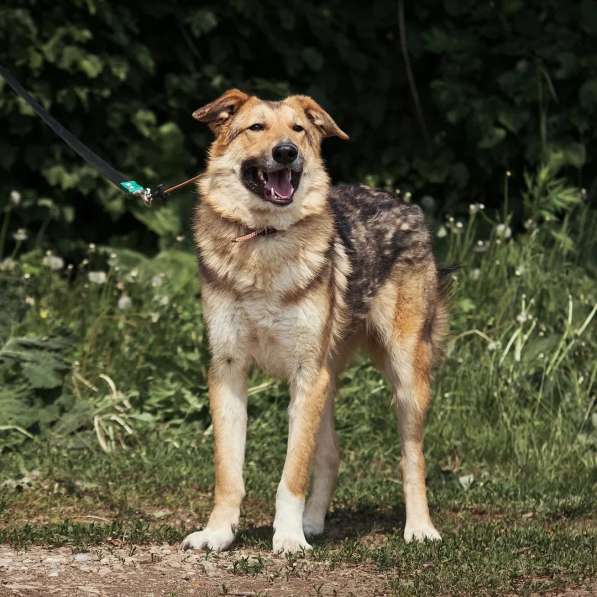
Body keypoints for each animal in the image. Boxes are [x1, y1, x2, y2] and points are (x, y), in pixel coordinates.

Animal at [182, 88, 448, 556]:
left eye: (298, 129)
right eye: (256, 127)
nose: (286, 152)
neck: (265, 241)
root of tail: (404, 202)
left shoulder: (307, 374)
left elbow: (292, 474)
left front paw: (288, 538)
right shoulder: (229, 371)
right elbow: (229, 473)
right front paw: (218, 533)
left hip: (404, 379)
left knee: (411, 457)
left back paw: (419, 528)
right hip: (327, 382)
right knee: (331, 455)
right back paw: (314, 523)